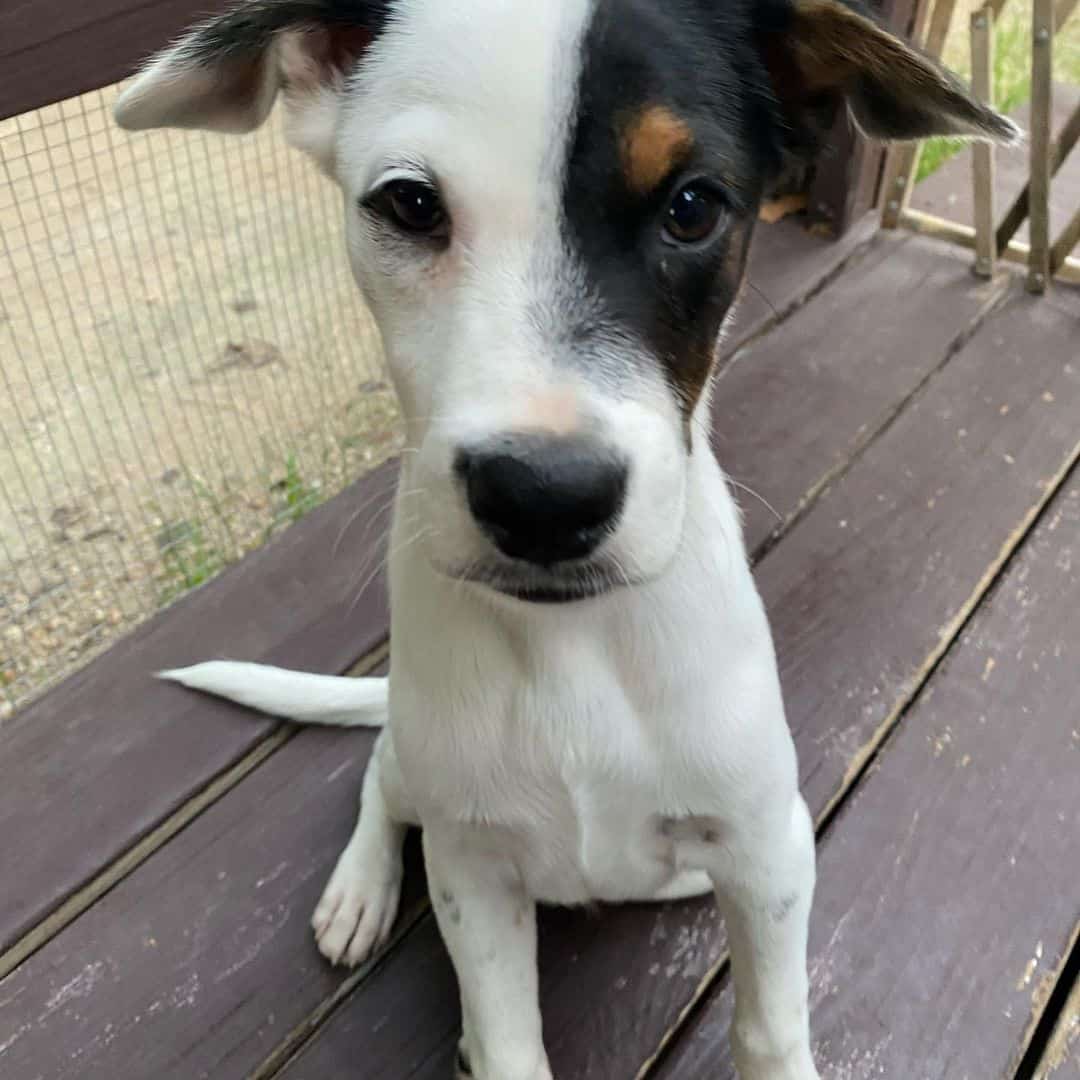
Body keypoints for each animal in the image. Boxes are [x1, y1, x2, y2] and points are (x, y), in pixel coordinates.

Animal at [118, 4, 1010, 1075]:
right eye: (408, 204)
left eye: (693, 207)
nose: (543, 498)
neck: (572, 649)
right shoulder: (472, 874)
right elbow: (507, 1039)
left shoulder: (768, 847)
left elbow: (769, 1025)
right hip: (422, 773)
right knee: (381, 781)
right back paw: (361, 891)